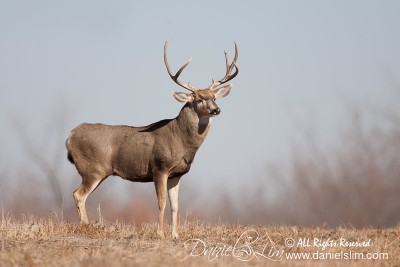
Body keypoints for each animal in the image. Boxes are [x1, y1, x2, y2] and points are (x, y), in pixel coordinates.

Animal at [66, 40, 238, 240]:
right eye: (199, 99)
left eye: (214, 97)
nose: (216, 110)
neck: (180, 140)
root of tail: (69, 137)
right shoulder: (159, 168)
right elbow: (161, 202)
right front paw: (160, 234)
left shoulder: (177, 174)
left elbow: (175, 205)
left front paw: (175, 235)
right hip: (93, 169)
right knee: (79, 194)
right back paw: (86, 227)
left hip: (99, 172)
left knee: (79, 194)